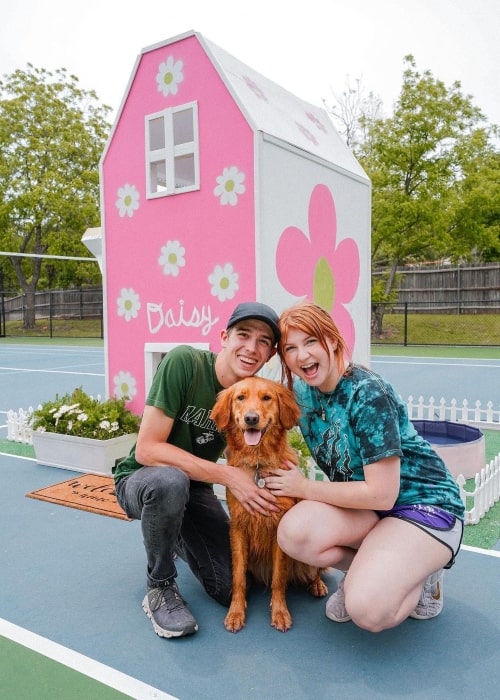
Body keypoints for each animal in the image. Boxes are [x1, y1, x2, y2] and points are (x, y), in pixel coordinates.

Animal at [211, 378, 328, 636]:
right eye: (240, 397)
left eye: (267, 398)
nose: (251, 418)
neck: (258, 465)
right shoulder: (238, 528)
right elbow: (238, 577)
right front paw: (236, 612)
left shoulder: (279, 527)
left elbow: (278, 579)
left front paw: (280, 612)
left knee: (315, 572)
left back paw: (317, 584)